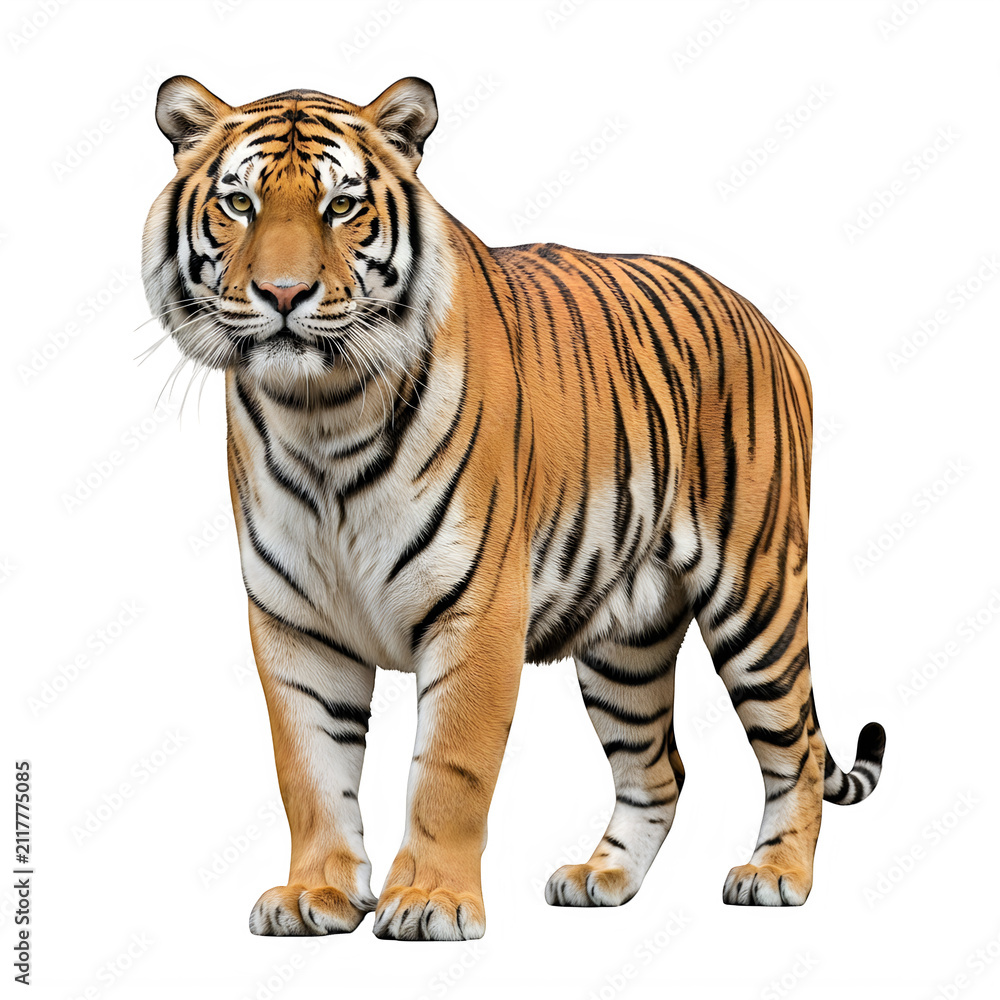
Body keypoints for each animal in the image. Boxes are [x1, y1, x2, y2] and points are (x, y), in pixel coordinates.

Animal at [142, 75, 886, 941]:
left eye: (341, 206)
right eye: (239, 203)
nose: (285, 294)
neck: (321, 414)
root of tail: (770, 326)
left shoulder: (479, 607)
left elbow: (448, 768)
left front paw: (429, 901)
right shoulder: (293, 621)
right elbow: (309, 768)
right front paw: (314, 894)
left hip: (757, 597)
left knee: (797, 745)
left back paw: (775, 874)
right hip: (625, 642)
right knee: (658, 768)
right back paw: (602, 877)